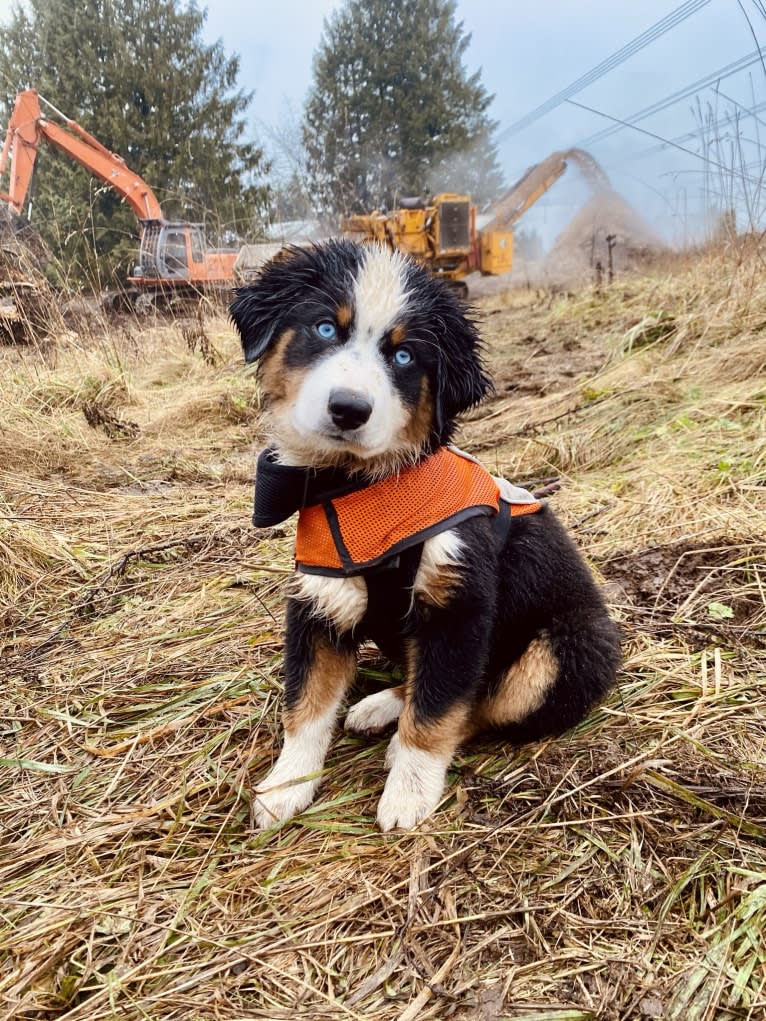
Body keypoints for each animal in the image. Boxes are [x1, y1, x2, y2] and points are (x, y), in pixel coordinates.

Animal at [230, 238, 620, 829]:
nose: (349, 409)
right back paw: (382, 704)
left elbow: (438, 710)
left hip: (561, 650)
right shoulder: (319, 601)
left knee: (483, 703)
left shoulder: (459, 606)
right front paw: (285, 785)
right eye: (325, 328)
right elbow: (307, 704)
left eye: (404, 356)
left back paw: (396, 736)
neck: (358, 485)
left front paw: (408, 794)